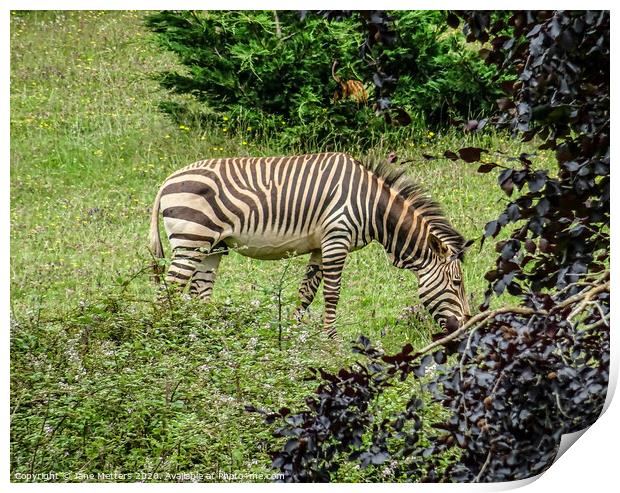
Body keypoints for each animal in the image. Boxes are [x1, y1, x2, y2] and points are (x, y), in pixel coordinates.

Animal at [150, 153, 470, 338]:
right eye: (456, 283)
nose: (465, 326)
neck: (373, 208)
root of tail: (165, 181)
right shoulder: (337, 237)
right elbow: (331, 293)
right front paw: (331, 340)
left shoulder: (320, 245)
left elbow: (306, 292)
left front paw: (295, 335)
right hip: (192, 240)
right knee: (168, 293)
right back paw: (168, 338)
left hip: (212, 246)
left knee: (199, 293)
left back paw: (204, 335)